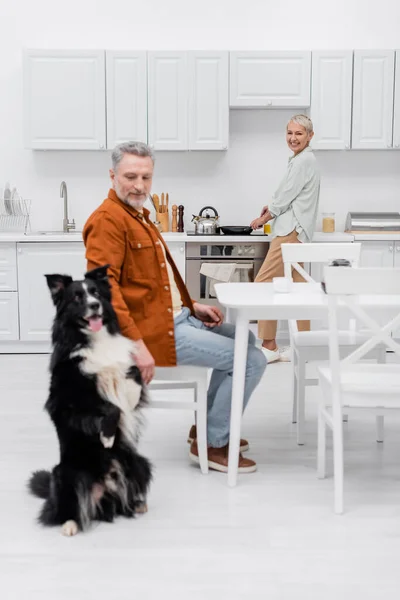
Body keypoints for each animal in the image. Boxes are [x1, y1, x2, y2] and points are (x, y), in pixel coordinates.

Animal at [28, 264, 152, 536]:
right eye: (77, 298)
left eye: (96, 293)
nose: (95, 305)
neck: (97, 340)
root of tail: (104, 495)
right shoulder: (64, 402)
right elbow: (109, 407)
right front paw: (106, 437)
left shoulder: (129, 382)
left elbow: (133, 384)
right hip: (65, 474)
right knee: (62, 510)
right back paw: (69, 524)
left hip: (139, 462)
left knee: (123, 501)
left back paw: (136, 504)